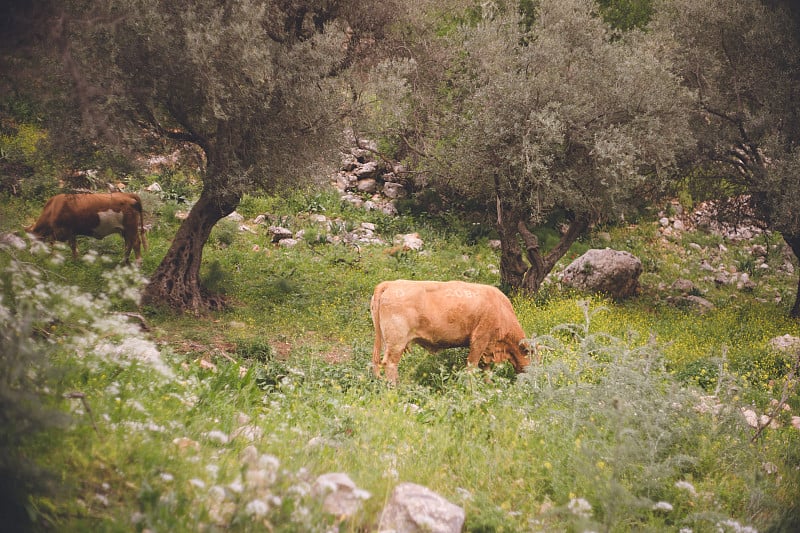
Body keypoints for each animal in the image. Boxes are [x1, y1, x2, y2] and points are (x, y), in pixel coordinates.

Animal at [372, 280, 536, 380]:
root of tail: (391, 284)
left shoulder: (487, 348)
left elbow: (486, 370)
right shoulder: (480, 339)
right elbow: (472, 366)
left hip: (385, 341)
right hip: (397, 342)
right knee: (390, 364)